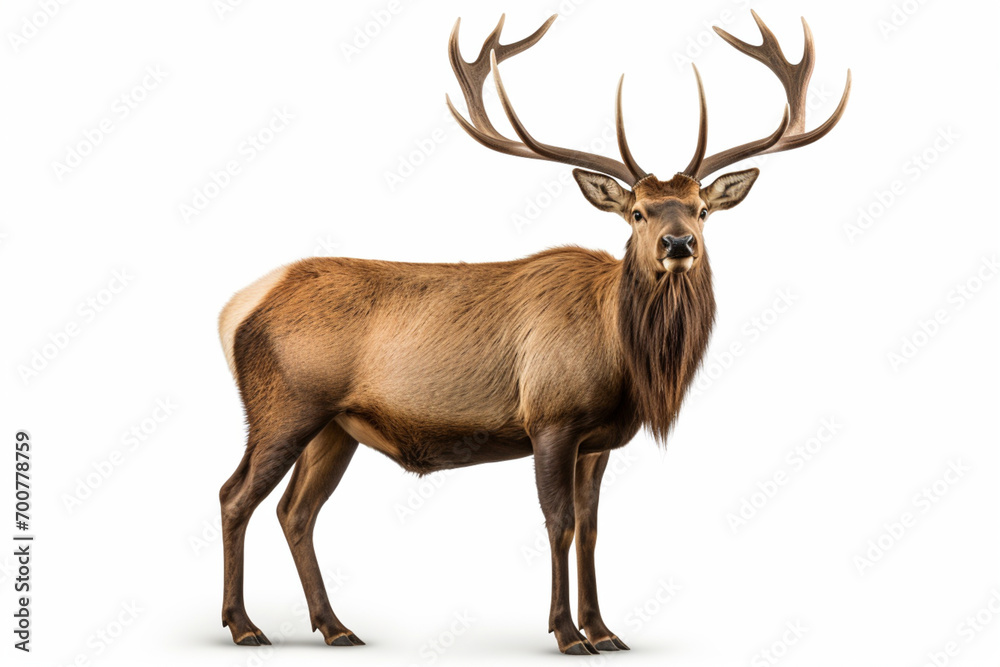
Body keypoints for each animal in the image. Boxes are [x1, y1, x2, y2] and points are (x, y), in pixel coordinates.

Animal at [216, 11, 850, 655]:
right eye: (638, 212)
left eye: (701, 209)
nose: (679, 245)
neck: (626, 360)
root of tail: (236, 308)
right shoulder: (551, 417)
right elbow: (559, 522)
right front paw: (567, 633)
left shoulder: (597, 440)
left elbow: (592, 526)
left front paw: (605, 630)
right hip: (283, 406)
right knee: (235, 495)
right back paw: (244, 625)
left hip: (334, 425)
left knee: (296, 511)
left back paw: (335, 625)